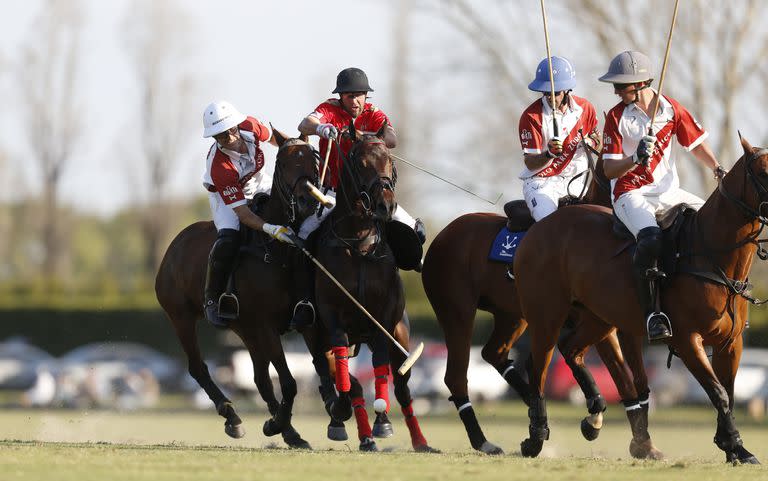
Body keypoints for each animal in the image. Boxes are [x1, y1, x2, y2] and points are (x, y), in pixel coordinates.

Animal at [158, 130, 332, 446]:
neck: (280, 252)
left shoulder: (305, 320)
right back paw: (233, 416)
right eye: (284, 163)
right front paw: (277, 425)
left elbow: (320, 365)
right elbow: (289, 382)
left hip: (244, 329)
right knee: (198, 367)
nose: (305, 202)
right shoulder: (266, 325)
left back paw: (285, 429)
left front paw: (333, 408)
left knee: (260, 380)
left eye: (313, 159)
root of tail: (174, 245)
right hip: (181, 317)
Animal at [312, 127, 436, 450]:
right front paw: (344, 411)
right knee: (344, 377)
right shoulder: (330, 314)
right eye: (360, 163)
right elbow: (344, 371)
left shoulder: (384, 314)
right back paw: (359, 431)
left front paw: (382, 419)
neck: (358, 242)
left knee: (403, 388)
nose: (385, 206)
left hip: (401, 337)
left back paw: (417, 439)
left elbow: (380, 365)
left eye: (390, 161)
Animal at [424, 158, 664, 458]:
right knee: (456, 376)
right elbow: (623, 378)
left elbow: (635, 379)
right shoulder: (602, 325)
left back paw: (530, 404)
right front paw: (603, 421)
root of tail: (440, 236)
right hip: (458, 313)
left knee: (495, 353)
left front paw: (640, 440)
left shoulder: (620, 324)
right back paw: (484, 440)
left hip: (513, 316)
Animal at [512, 136, 764, 464]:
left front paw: (733, 446)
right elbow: (718, 392)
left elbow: (729, 393)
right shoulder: (686, 339)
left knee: (569, 349)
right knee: (539, 369)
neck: (711, 256)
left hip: (599, 318)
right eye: (763, 172)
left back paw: (592, 417)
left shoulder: (731, 343)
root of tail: (539, 226)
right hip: (546, 315)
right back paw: (536, 438)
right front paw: (733, 444)